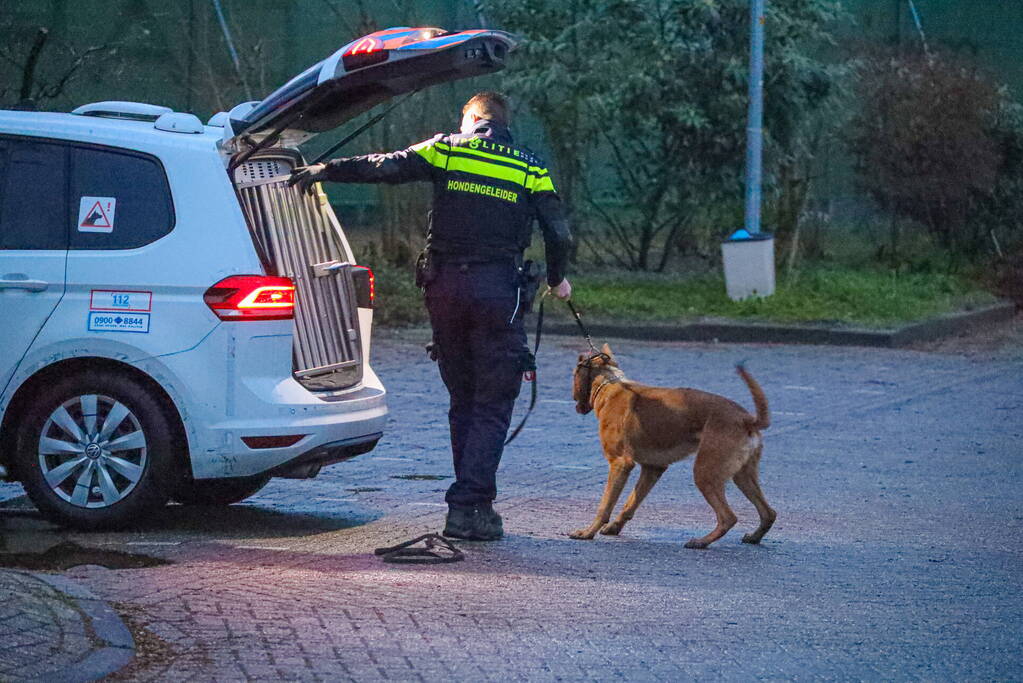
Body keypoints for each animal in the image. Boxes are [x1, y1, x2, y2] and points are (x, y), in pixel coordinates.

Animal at [568, 341, 773, 548]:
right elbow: (631, 502)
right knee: (769, 513)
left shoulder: (619, 464)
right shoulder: (653, 468)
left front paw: (588, 532)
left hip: (705, 473)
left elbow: (605, 506)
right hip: (742, 475)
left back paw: (701, 542)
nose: (575, 402)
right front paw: (614, 527)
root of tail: (747, 419)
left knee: (728, 517)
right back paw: (754, 537)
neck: (611, 384)